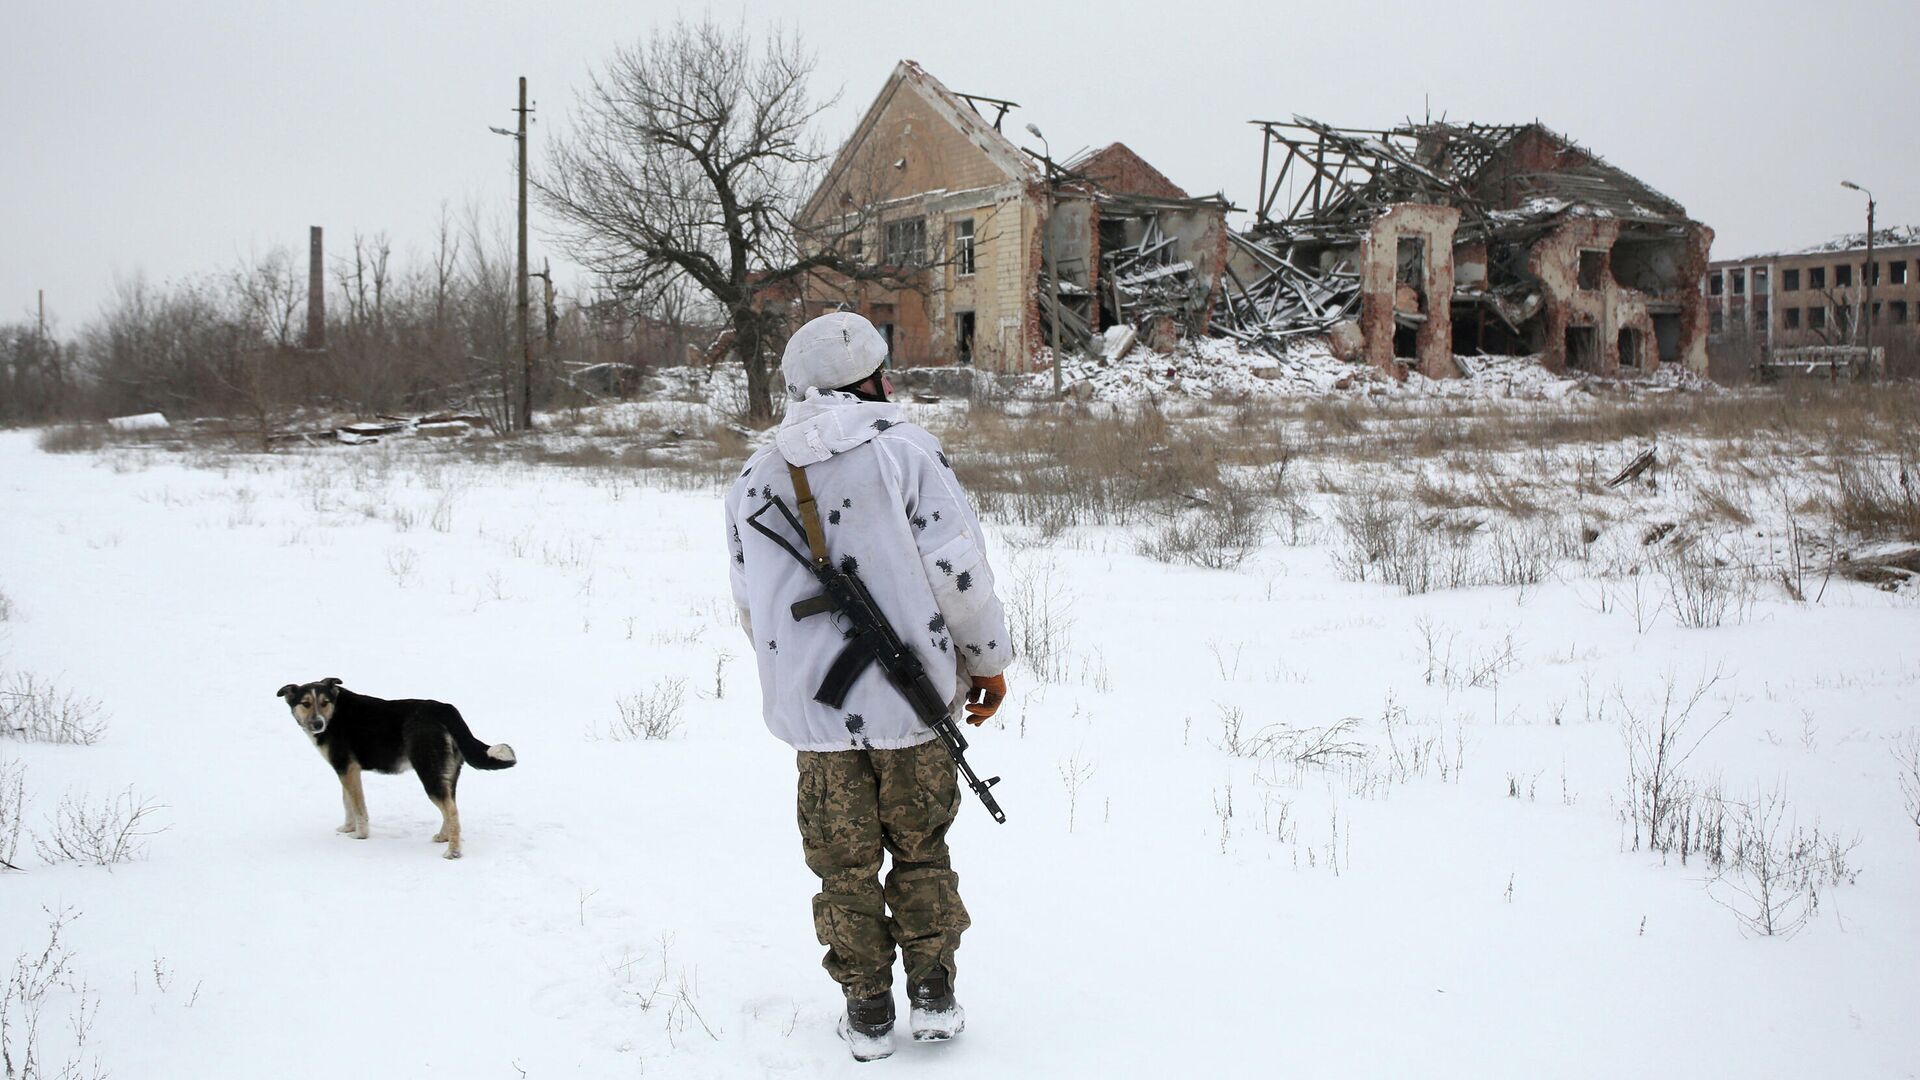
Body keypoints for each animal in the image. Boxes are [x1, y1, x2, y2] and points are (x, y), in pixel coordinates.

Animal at [278, 672, 518, 857]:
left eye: (324, 703)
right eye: (305, 704)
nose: (318, 724)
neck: (335, 713)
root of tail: (445, 709)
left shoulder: (348, 768)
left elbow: (358, 807)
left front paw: (360, 835)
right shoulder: (344, 769)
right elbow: (347, 803)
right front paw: (347, 828)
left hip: (429, 771)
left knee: (451, 811)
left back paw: (453, 852)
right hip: (447, 772)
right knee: (452, 808)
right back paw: (444, 837)